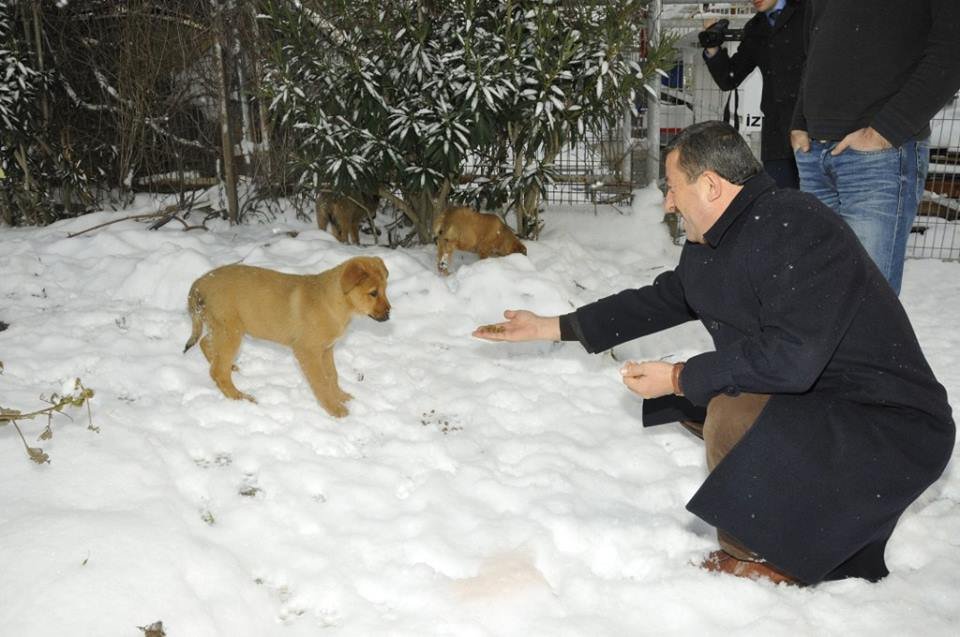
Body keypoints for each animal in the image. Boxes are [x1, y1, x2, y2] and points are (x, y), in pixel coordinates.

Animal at [184, 255, 390, 418]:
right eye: (373, 293)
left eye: (385, 290)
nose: (389, 314)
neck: (335, 302)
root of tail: (199, 283)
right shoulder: (307, 351)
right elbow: (321, 382)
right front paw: (335, 410)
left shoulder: (326, 349)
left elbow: (332, 375)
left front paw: (341, 397)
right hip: (230, 332)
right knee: (218, 371)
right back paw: (241, 398)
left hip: (220, 329)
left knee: (205, 345)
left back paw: (230, 367)